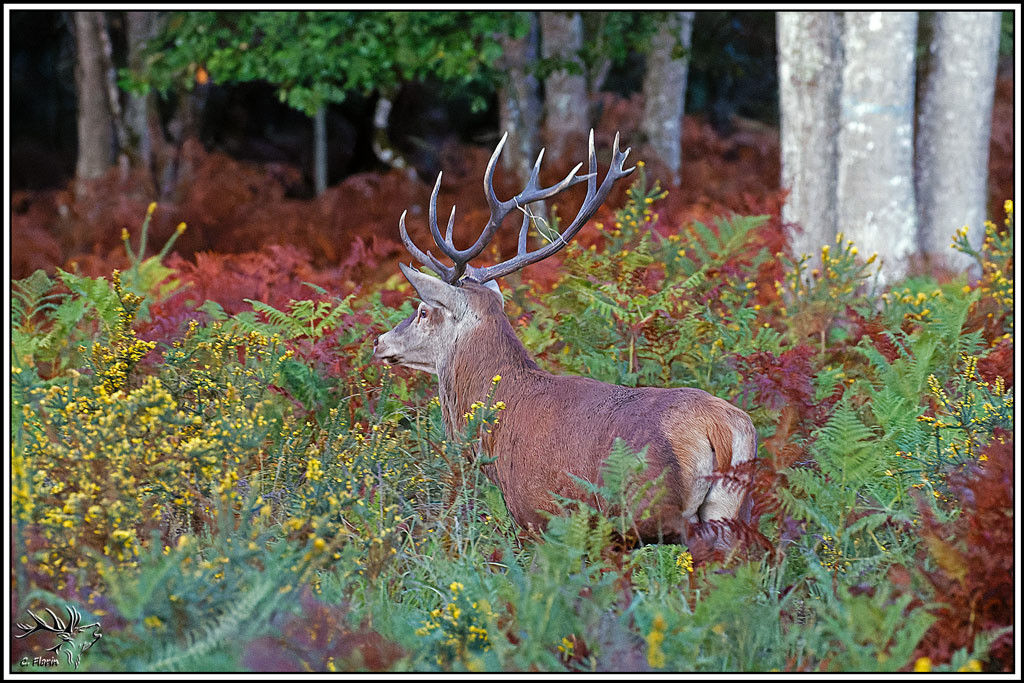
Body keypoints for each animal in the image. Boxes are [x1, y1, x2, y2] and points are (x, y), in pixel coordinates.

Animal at [373, 130, 757, 551]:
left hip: (656, 510)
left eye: (424, 311)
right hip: (729, 509)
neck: (497, 428)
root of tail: (719, 429)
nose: (380, 341)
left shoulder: (537, 513)